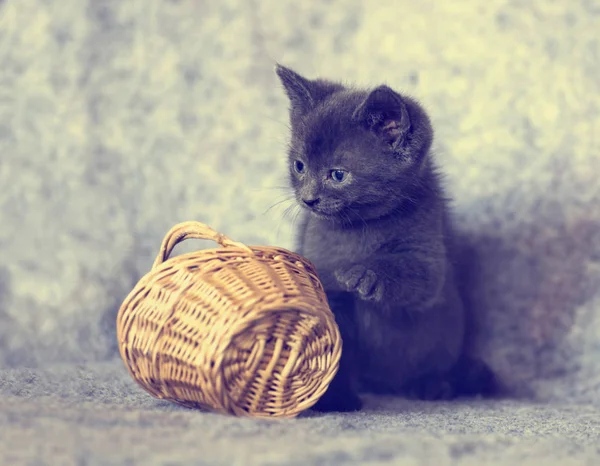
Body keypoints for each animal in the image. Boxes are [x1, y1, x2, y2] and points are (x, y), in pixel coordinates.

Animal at [274, 63, 494, 410]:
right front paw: (335, 399)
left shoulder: (428, 245)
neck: (358, 227)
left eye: (338, 174)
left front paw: (367, 274)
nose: (308, 199)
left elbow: (418, 278)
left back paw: (433, 385)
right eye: (299, 166)